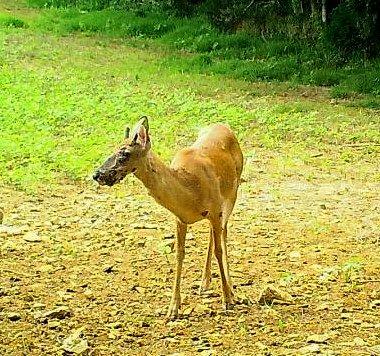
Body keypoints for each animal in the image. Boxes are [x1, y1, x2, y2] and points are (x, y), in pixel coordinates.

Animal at [93, 116, 245, 318]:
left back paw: (228, 288)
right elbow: (180, 254)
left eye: (124, 154)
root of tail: (224, 126)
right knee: (214, 235)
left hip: (232, 194)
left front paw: (227, 298)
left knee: (223, 234)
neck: (190, 188)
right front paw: (173, 307)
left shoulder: (215, 209)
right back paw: (204, 282)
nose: (97, 175)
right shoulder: (180, 218)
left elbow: (219, 250)